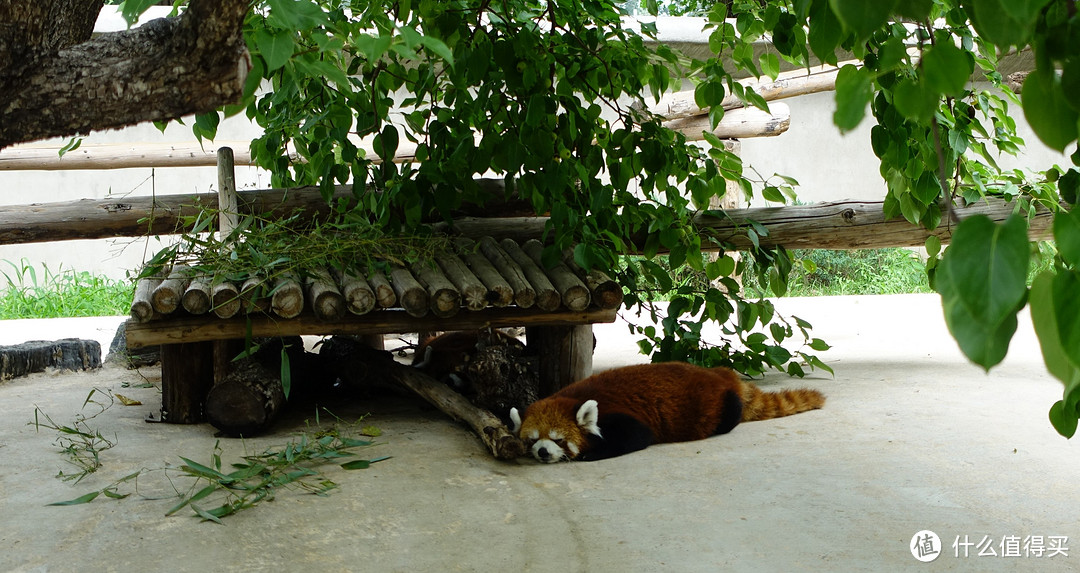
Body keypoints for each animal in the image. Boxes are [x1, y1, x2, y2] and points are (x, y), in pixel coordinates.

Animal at [509, 364, 820, 464]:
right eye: (532, 440)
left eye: (559, 440)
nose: (543, 452)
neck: (573, 398)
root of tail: (719, 373)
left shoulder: (620, 417)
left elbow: (638, 436)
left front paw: (590, 454)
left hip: (722, 405)